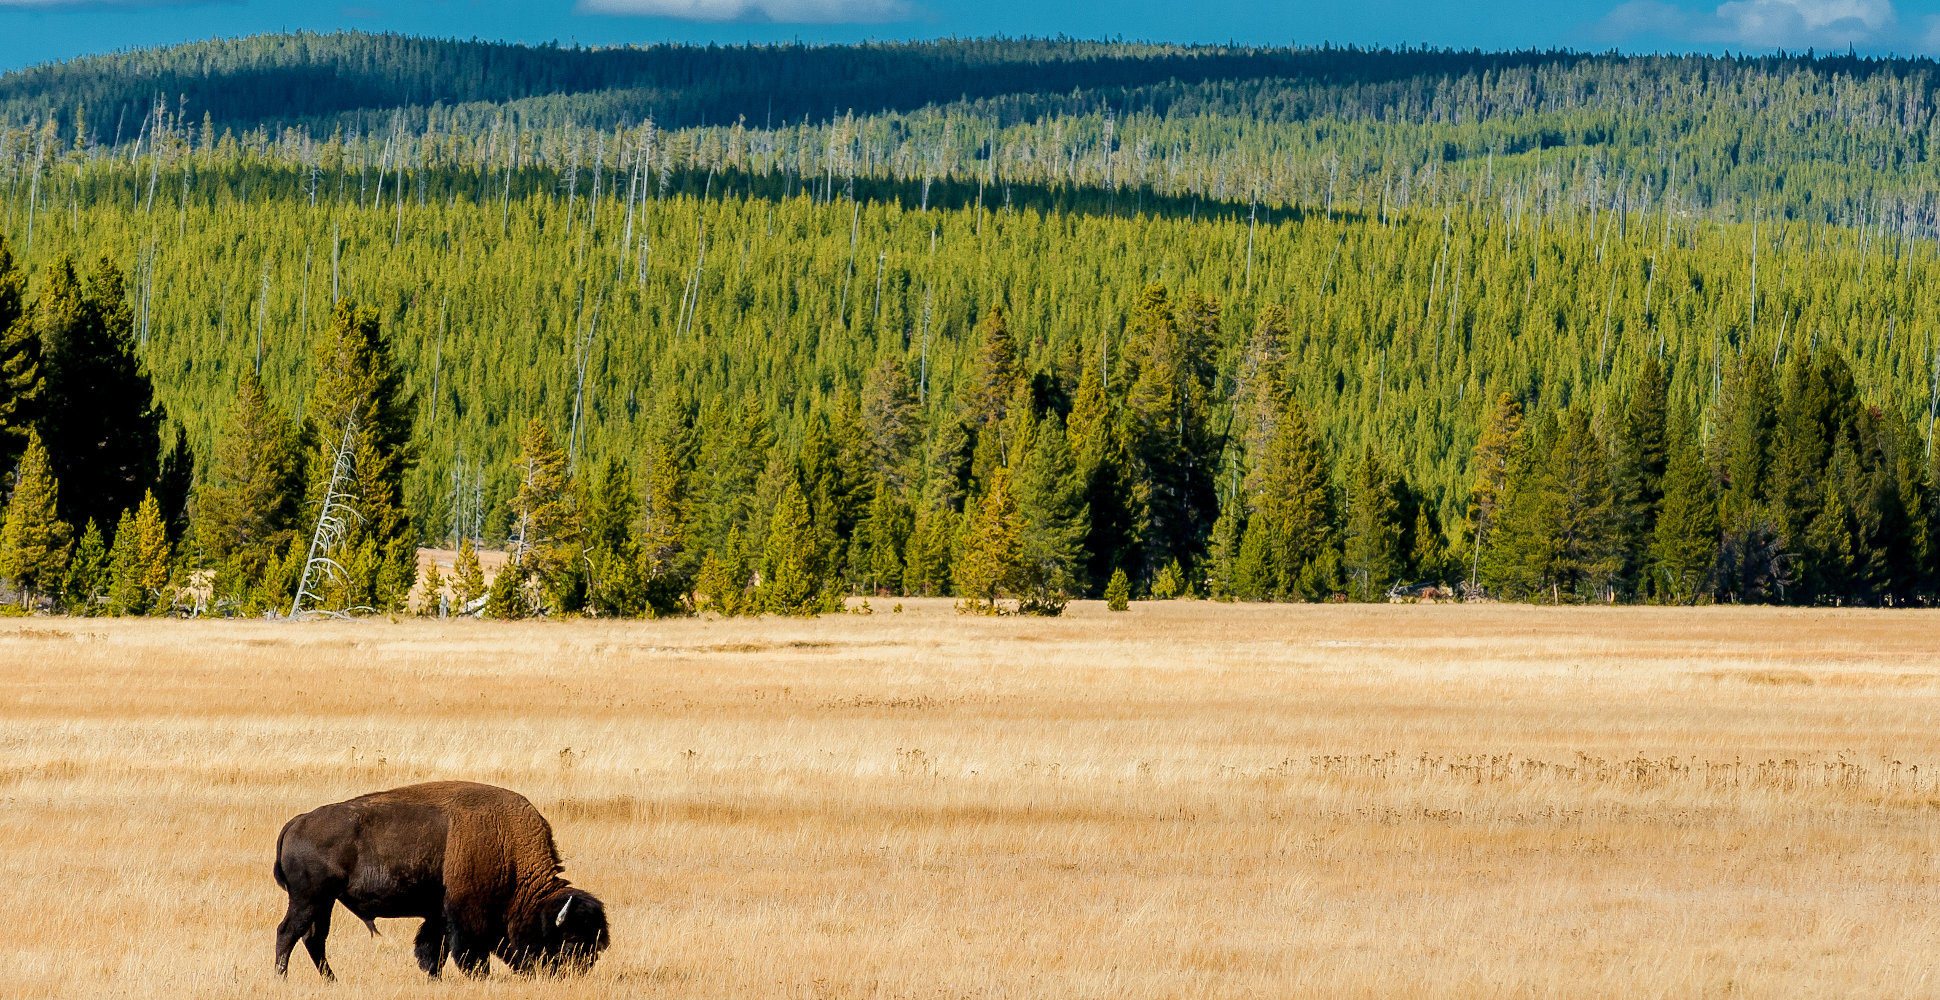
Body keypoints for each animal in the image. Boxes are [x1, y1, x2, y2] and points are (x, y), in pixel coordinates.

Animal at [273, 781, 609, 979]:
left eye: (595, 947)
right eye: (570, 944)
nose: (574, 977)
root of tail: (298, 821)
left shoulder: (438, 914)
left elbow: (432, 948)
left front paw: (432, 976)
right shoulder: (465, 915)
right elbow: (467, 954)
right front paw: (478, 977)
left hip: (324, 902)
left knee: (313, 938)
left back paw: (331, 981)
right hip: (309, 898)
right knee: (289, 932)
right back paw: (283, 978)